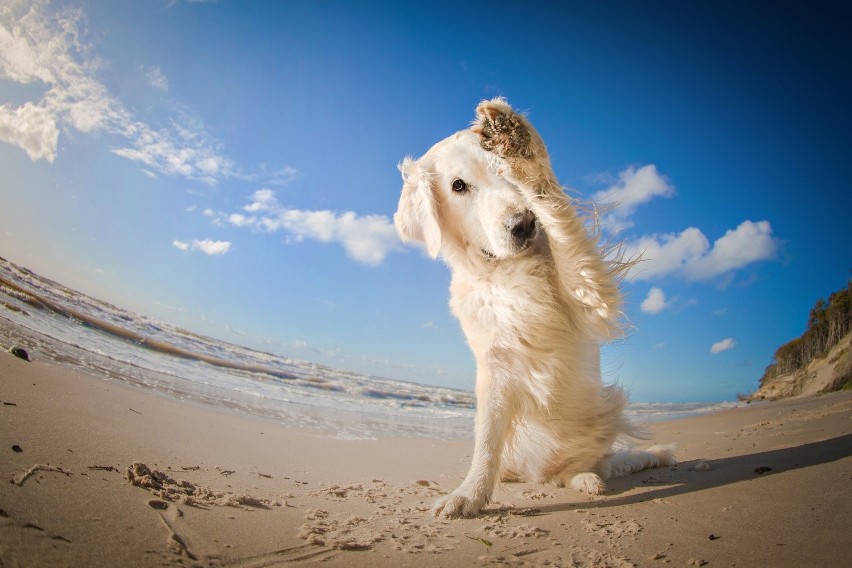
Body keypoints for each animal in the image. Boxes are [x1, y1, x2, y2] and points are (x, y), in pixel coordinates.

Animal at [396, 98, 676, 520]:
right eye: (458, 186)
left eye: (501, 170)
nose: (524, 225)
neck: (504, 269)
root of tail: (539, 473)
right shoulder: (494, 365)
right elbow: (486, 442)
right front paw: (469, 495)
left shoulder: (589, 294)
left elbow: (559, 223)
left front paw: (520, 145)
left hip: (606, 408)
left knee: (583, 468)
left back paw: (586, 479)